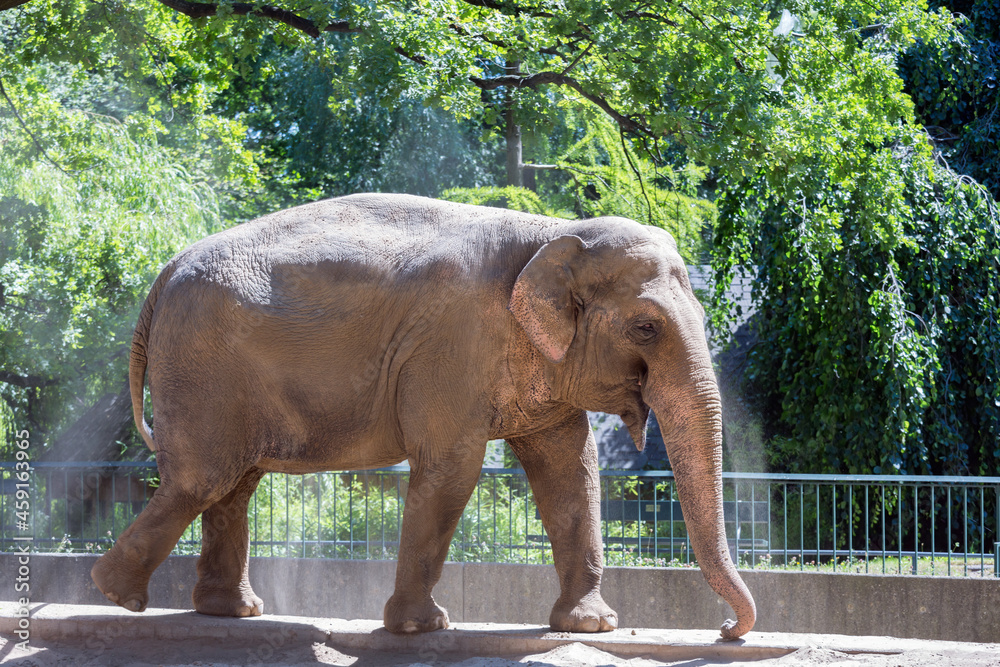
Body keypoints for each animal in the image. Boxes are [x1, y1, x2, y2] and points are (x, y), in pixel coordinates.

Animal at [90, 193, 756, 639]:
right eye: (646, 327)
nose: (725, 630)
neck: (553, 235)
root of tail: (164, 274)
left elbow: (570, 467)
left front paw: (591, 627)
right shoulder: (450, 345)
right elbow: (453, 466)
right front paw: (422, 629)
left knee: (234, 482)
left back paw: (230, 611)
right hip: (203, 365)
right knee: (202, 478)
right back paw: (118, 596)